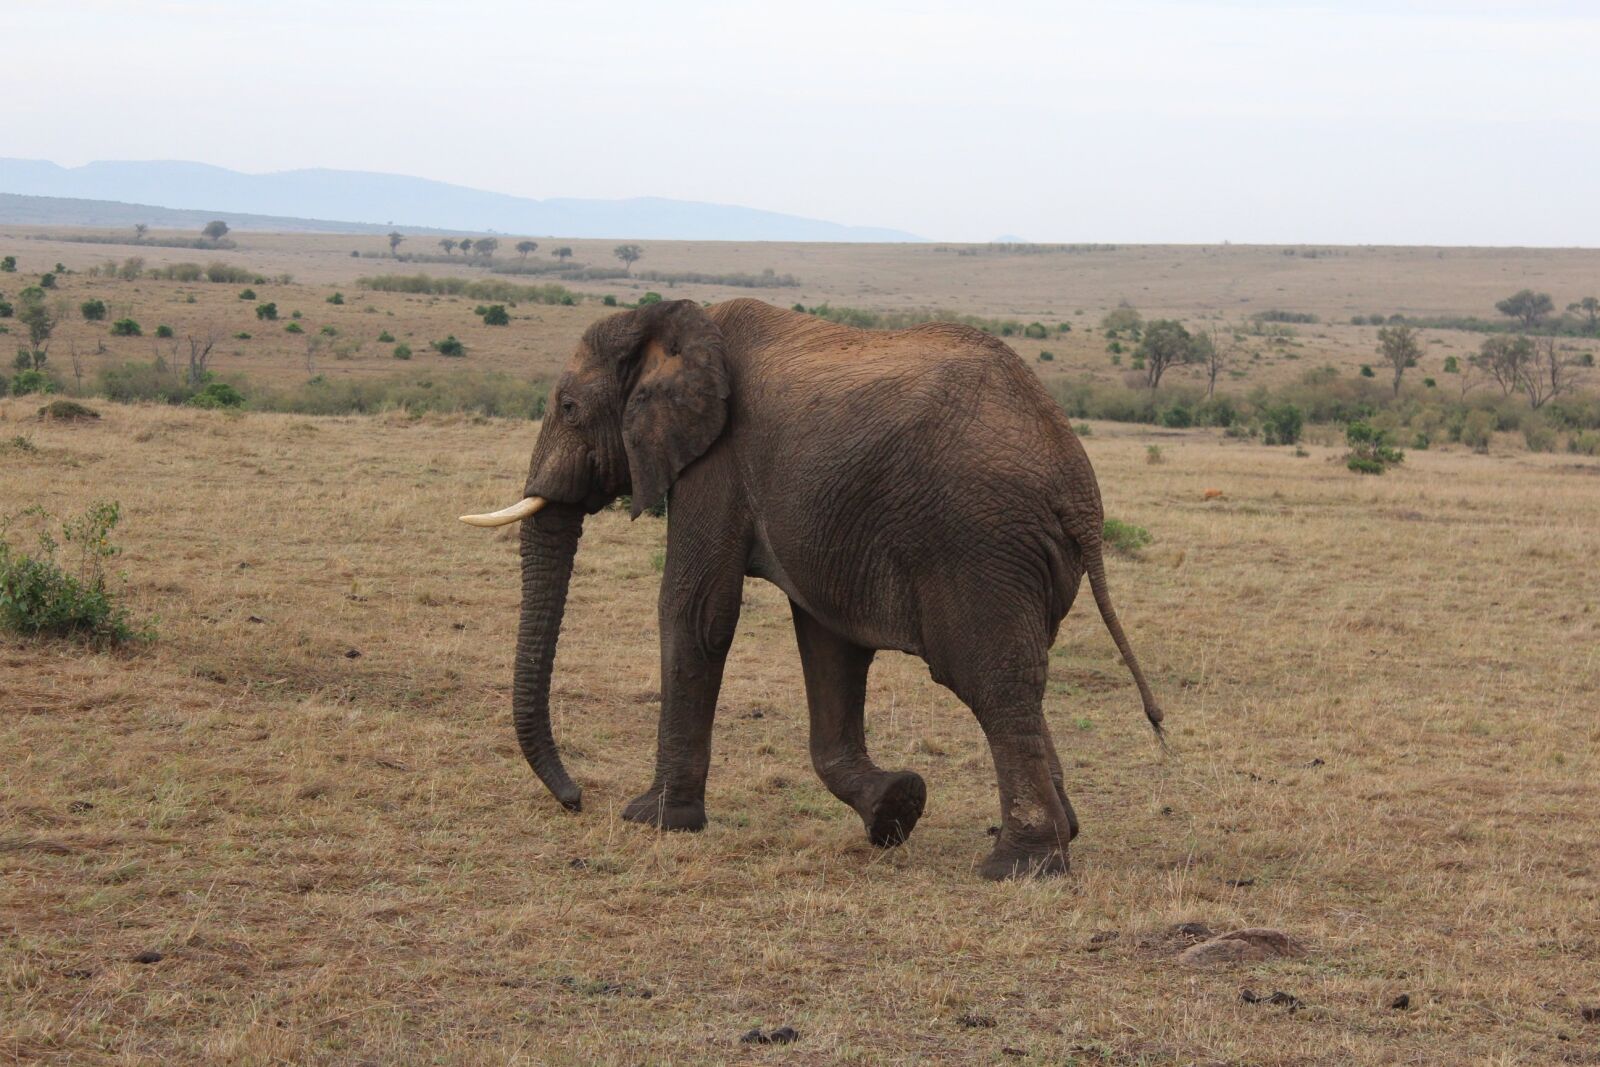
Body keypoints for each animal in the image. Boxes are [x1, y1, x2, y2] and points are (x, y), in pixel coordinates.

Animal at [461, 298, 1164, 880]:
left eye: (569, 408)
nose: (577, 800)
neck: (666, 322)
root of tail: (1075, 480)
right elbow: (828, 642)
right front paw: (894, 809)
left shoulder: (716, 461)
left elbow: (696, 614)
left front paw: (654, 819)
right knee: (1023, 677)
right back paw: (1059, 835)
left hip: (982, 543)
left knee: (994, 681)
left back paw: (1019, 867)